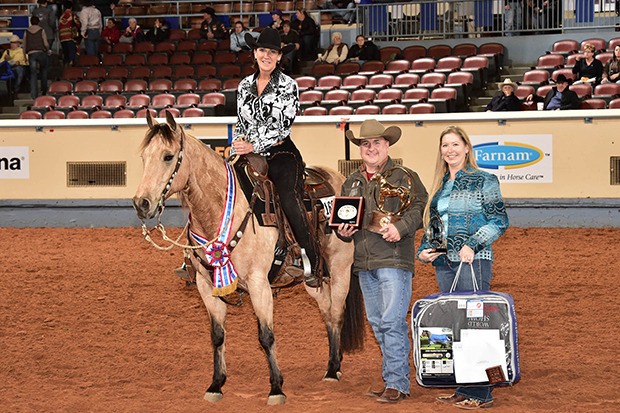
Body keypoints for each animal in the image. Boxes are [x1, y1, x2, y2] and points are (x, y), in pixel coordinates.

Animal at [131, 111, 364, 404]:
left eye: (168, 156)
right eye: (143, 156)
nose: (141, 203)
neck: (223, 210)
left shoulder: (258, 283)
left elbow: (266, 336)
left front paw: (276, 388)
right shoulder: (206, 286)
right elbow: (217, 335)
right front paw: (216, 384)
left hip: (341, 267)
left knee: (337, 312)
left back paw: (333, 371)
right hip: (314, 280)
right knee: (327, 311)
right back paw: (333, 363)